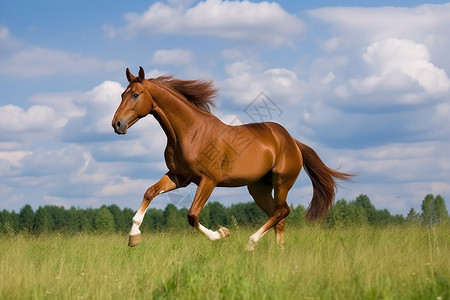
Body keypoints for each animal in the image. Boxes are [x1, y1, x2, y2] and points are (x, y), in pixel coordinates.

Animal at [111, 67, 352, 250]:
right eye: (122, 94)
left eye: (135, 95)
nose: (117, 124)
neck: (190, 132)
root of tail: (292, 141)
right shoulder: (178, 177)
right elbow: (150, 192)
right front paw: (134, 237)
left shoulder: (208, 180)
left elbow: (192, 215)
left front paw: (221, 233)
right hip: (258, 187)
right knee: (278, 217)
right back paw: (278, 251)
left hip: (282, 182)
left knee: (282, 211)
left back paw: (251, 243)